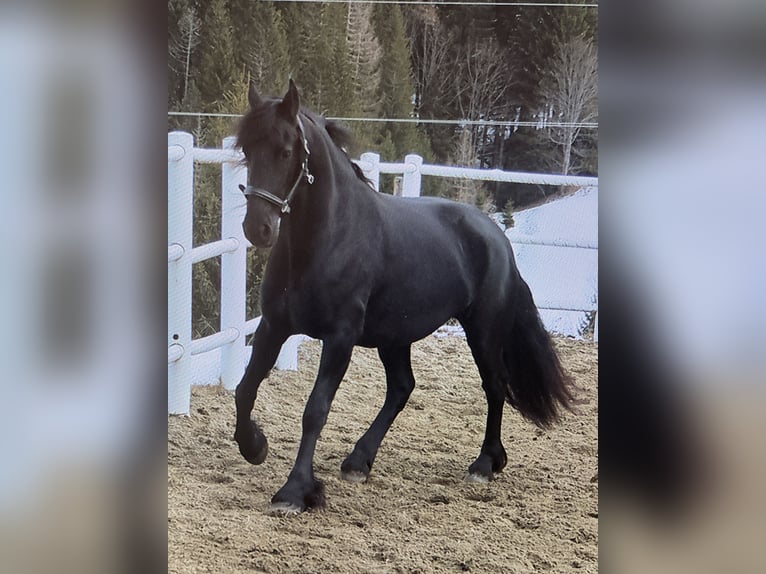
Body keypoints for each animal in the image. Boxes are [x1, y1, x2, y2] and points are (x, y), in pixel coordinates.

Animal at [234, 79, 576, 516]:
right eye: (247, 150)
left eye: (285, 150)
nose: (257, 228)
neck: (329, 237)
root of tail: (497, 238)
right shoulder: (274, 326)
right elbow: (246, 388)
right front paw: (254, 446)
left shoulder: (340, 337)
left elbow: (316, 409)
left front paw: (294, 492)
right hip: (394, 336)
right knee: (402, 387)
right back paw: (358, 462)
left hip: (482, 333)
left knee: (494, 386)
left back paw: (484, 464)